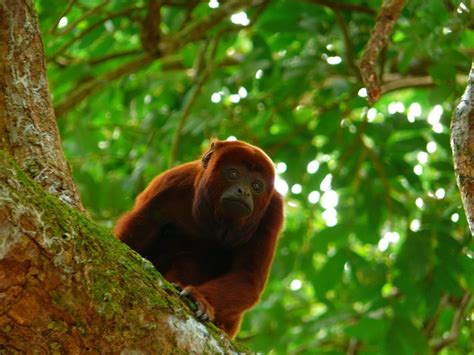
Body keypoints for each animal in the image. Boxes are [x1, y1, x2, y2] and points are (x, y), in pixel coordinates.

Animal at [115, 140, 286, 340]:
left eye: (257, 186)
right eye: (233, 173)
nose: (243, 191)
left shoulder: (273, 211)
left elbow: (248, 277)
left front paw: (199, 298)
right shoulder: (170, 185)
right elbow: (130, 243)